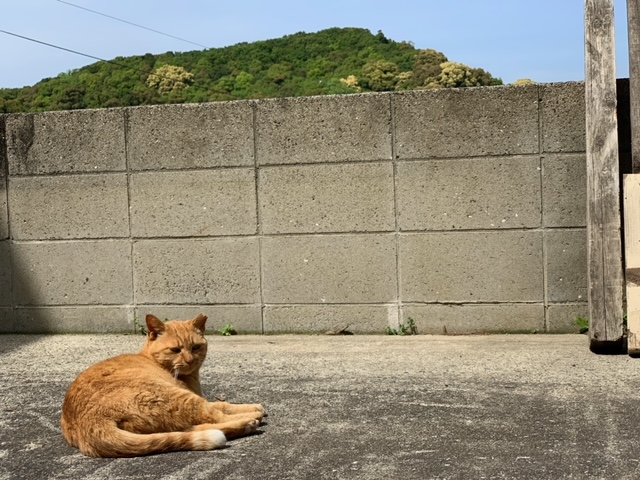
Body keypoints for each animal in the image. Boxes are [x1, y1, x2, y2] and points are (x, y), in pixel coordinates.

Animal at [60, 316, 264, 458]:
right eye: (175, 350)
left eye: (196, 347)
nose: (190, 360)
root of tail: (91, 423)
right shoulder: (193, 396)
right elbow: (221, 407)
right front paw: (253, 409)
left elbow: (222, 404)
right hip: (177, 398)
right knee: (215, 418)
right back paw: (250, 420)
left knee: (196, 427)